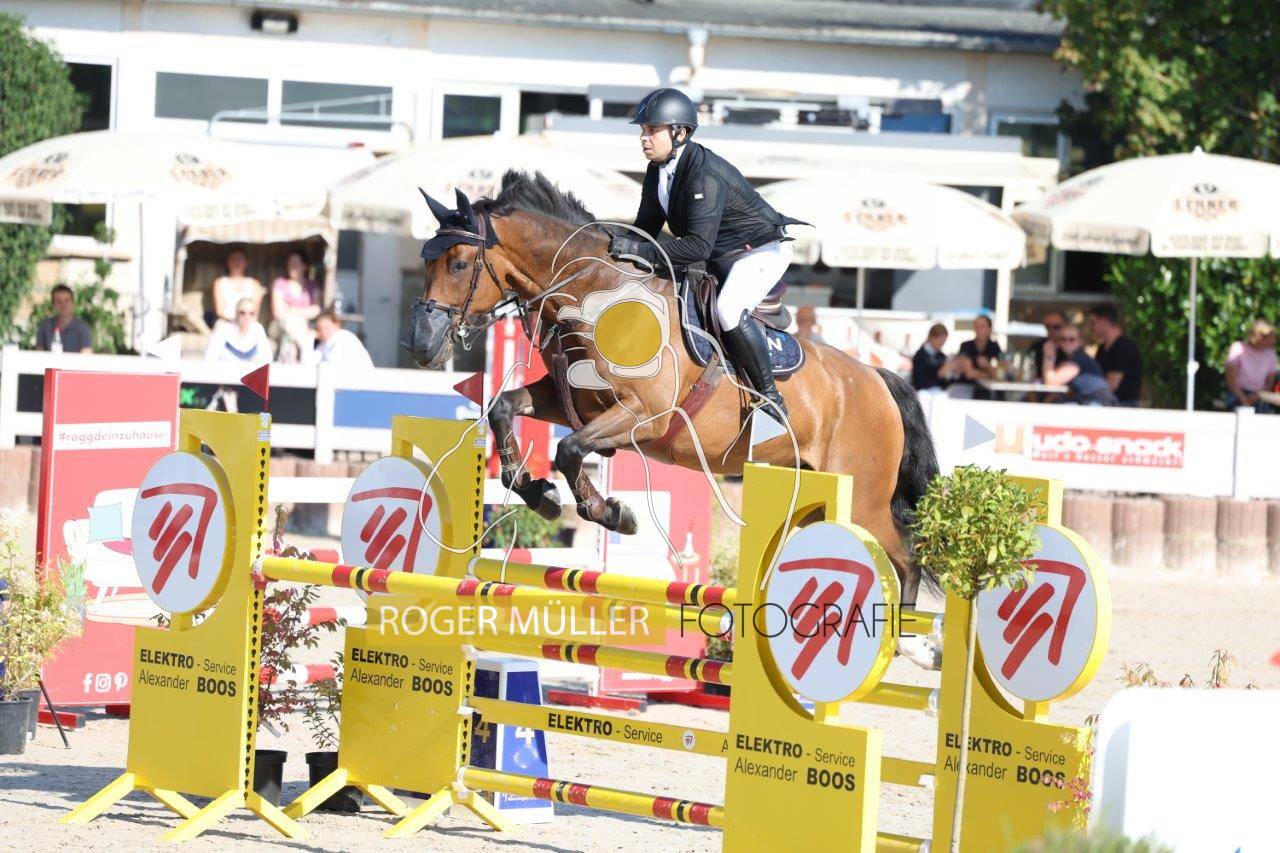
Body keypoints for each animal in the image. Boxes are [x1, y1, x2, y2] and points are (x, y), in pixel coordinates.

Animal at [402, 172, 941, 622]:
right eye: (426, 261)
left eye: (458, 263)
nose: (422, 346)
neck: (598, 297)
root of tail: (878, 379)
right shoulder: (570, 401)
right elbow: (505, 409)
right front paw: (539, 492)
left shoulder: (645, 415)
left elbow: (569, 450)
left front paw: (611, 513)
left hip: (863, 498)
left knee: (907, 559)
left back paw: (905, 642)